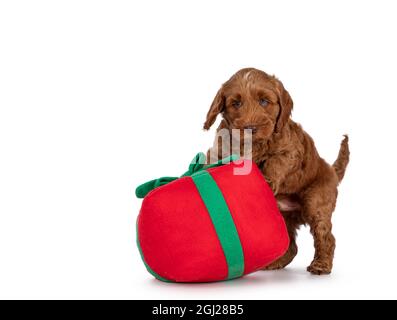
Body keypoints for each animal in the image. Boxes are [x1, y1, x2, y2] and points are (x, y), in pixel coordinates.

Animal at [203, 68, 348, 276]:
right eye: (236, 103)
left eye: (264, 101)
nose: (251, 128)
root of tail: (332, 171)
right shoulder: (221, 147)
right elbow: (213, 158)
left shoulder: (291, 150)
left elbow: (275, 161)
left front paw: (267, 180)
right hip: (283, 215)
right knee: (291, 245)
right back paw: (275, 262)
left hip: (316, 200)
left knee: (326, 235)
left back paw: (321, 265)